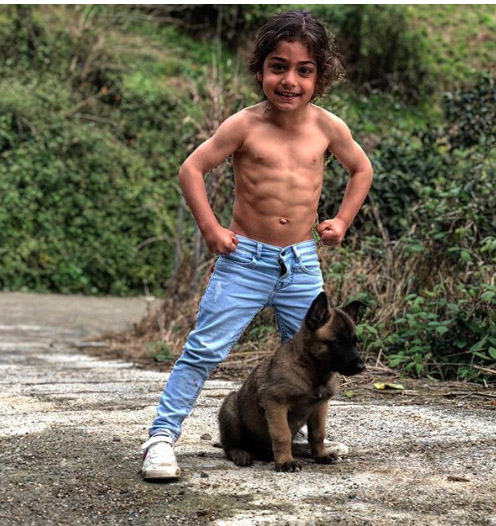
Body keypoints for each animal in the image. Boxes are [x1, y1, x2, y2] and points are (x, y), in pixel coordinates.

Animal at [218, 291, 365, 472]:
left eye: (354, 342)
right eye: (337, 343)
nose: (362, 366)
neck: (313, 372)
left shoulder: (320, 406)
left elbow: (318, 433)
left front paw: (320, 455)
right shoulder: (275, 403)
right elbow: (282, 435)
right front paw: (286, 462)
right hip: (230, 406)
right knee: (229, 446)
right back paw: (241, 453)